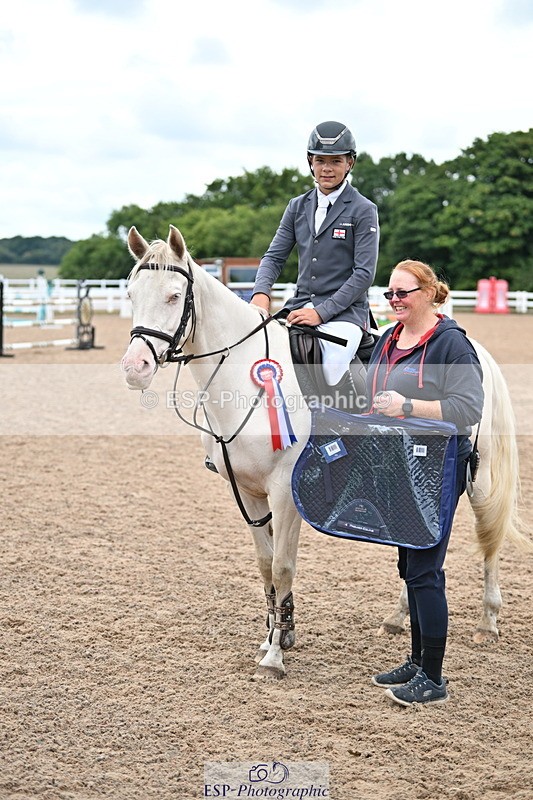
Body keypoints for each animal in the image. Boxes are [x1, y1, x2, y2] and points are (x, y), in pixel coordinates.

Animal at [121, 224, 528, 678]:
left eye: (175, 296)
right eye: (131, 294)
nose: (135, 368)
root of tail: (478, 352)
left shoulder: (285, 491)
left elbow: (283, 566)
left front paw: (274, 657)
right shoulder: (246, 492)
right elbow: (264, 565)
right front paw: (277, 634)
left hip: (479, 481)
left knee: (488, 540)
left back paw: (487, 623)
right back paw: (397, 618)